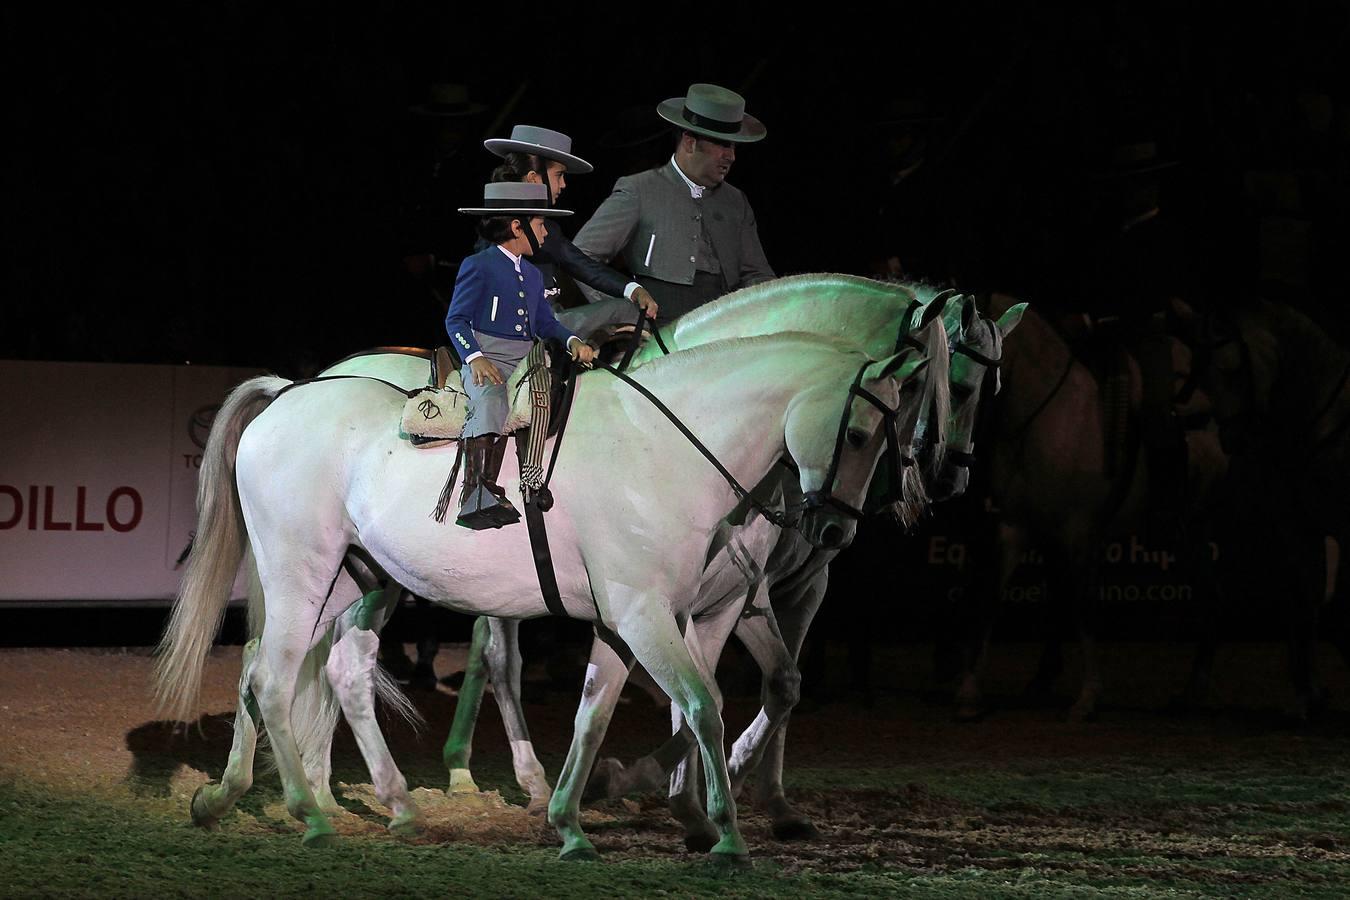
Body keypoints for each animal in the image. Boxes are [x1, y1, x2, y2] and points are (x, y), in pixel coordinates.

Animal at [150, 329, 928, 858]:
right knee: (273, 680)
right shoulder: (646, 616)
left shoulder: (632, 623)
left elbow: (597, 716)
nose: (833, 529)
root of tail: (290, 392)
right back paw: (306, 812)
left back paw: (302, 801)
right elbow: (702, 705)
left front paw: (572, 822)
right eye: (859, 434)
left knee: (309, 671)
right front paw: (727, 836)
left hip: (349, 583)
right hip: (299, 573)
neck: (662, 449)